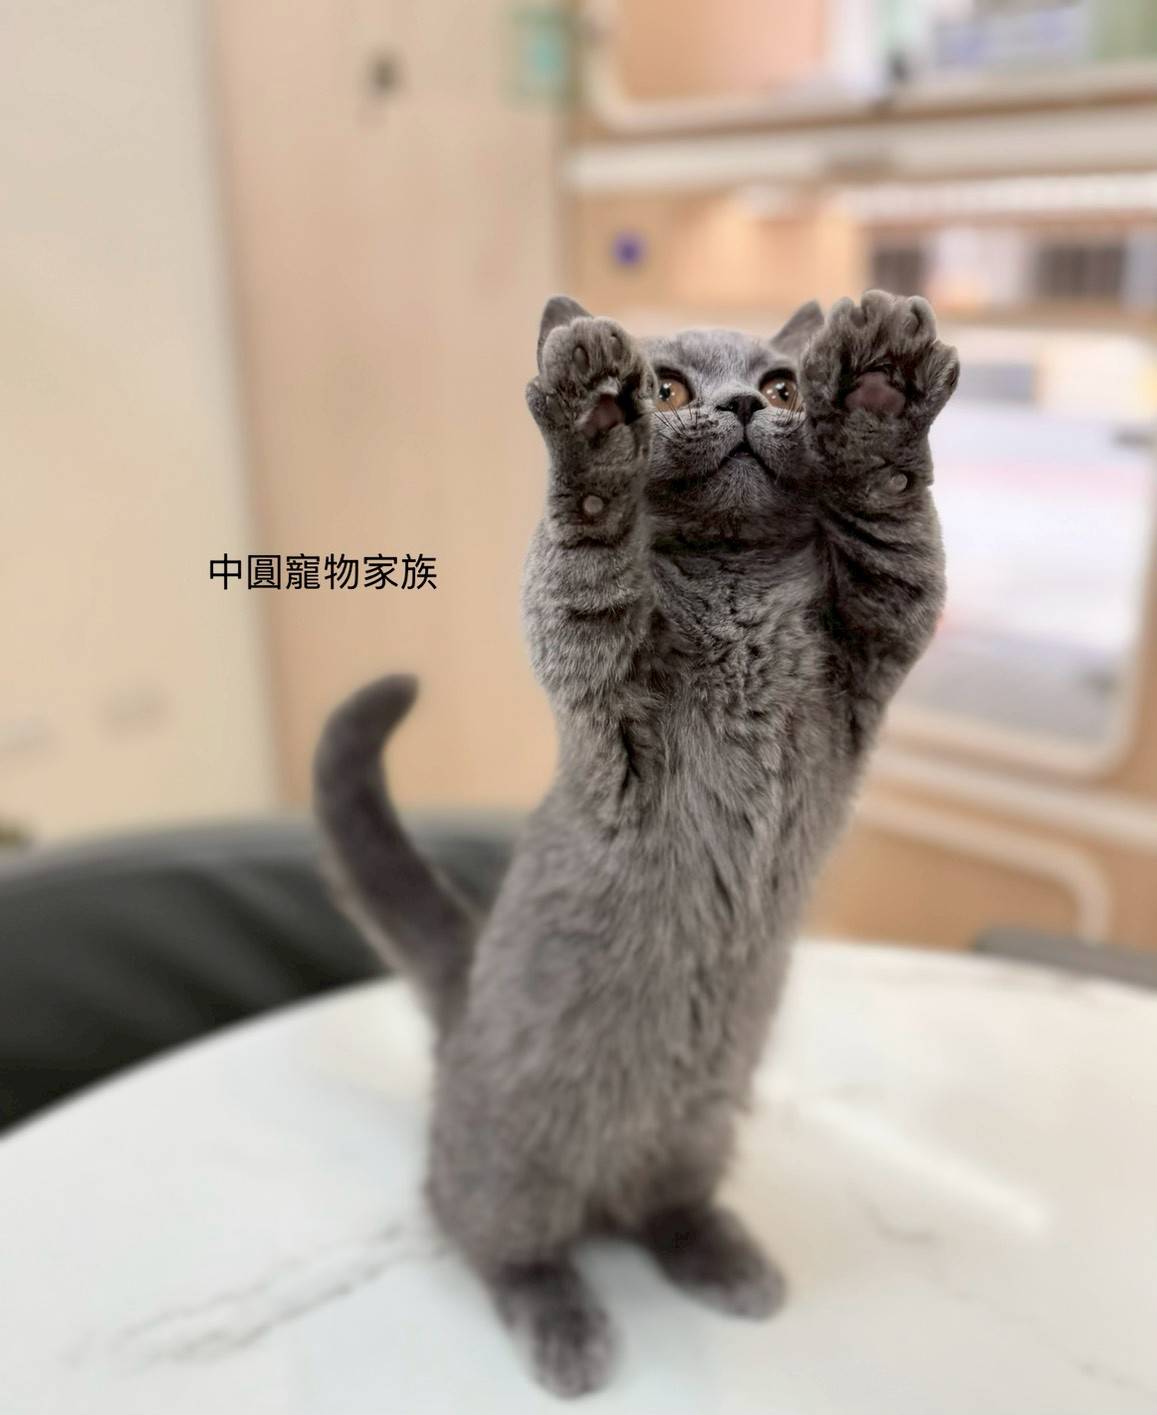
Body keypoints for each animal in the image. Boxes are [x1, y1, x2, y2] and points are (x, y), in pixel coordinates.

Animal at [314, 289, 958, 1397]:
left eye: (780, 383)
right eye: (666, 385)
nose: (742, 404)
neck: (737, 588)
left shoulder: (873, 640)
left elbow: (889, 527)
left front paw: (878, 388)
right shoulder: (597, 677)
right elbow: (581, 554)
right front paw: (592, 418)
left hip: (698, 1126)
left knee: (662, 1208)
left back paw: (725, 1259)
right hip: (512, 1163)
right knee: (484, 1232)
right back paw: (564, 1324)